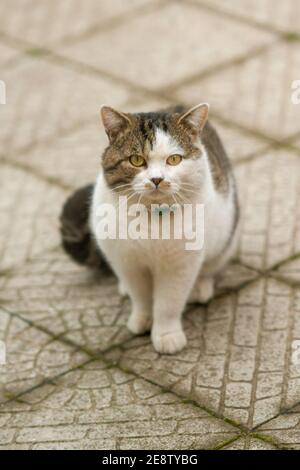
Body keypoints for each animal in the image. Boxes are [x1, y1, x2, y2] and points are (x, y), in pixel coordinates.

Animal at [60, 103, 239, 352]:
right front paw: (142, 320)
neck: (152, 220)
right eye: (136, 160)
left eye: (174, 159)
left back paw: (199, 288)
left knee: (209, 268)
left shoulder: (180, 265)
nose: (156, 179)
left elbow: (168, 303)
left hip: (224, 239)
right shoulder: (127, 262)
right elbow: (142, 297)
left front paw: (166, 335)